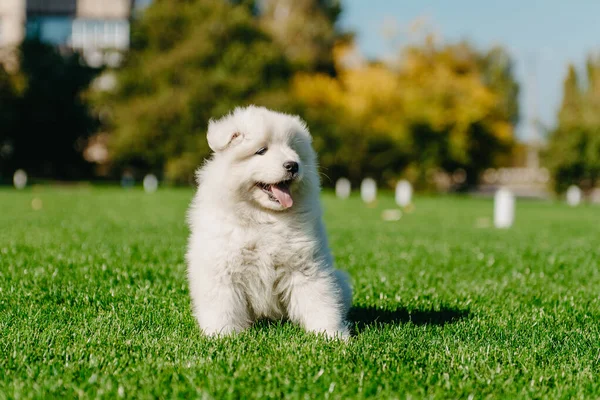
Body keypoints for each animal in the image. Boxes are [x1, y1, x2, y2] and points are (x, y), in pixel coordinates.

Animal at [186, 105, 352, 338]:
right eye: (261, 151)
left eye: (294, 150)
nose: (293, 165)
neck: (263, 217)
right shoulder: (223, 266)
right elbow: (224, 306)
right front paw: (222, 335)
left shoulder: (305, 265)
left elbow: (319, 301)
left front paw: (331, 335)